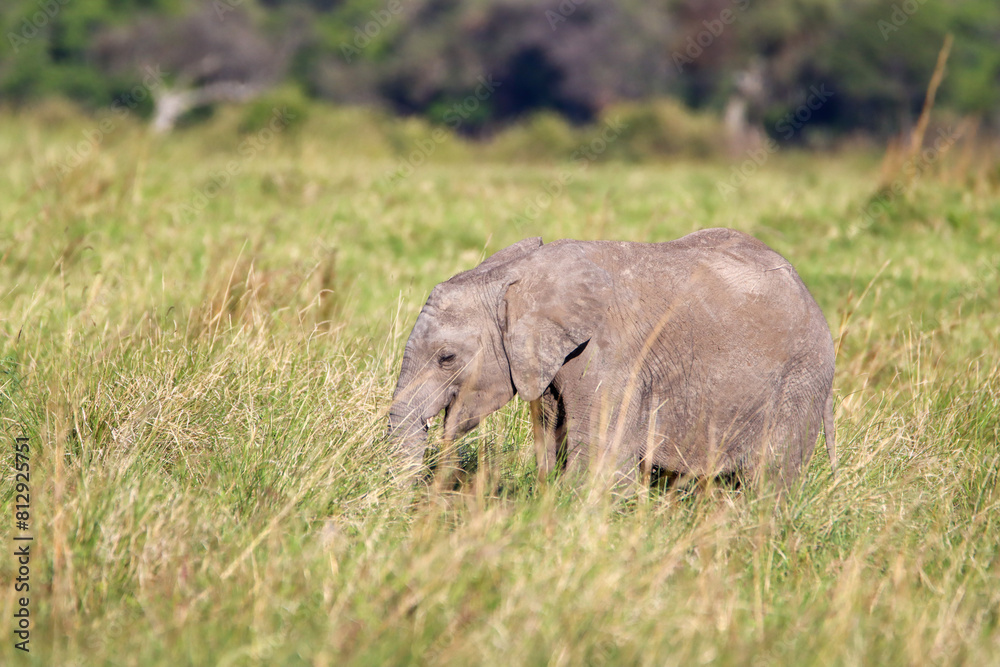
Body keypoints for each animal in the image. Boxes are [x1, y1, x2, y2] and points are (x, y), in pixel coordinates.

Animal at [387, 228, 836, 490]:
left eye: (447, 358)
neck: (515, 276)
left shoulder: (611, 355)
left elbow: (603, 459)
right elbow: (553, 449)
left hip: (800, 379)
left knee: (770, 477)